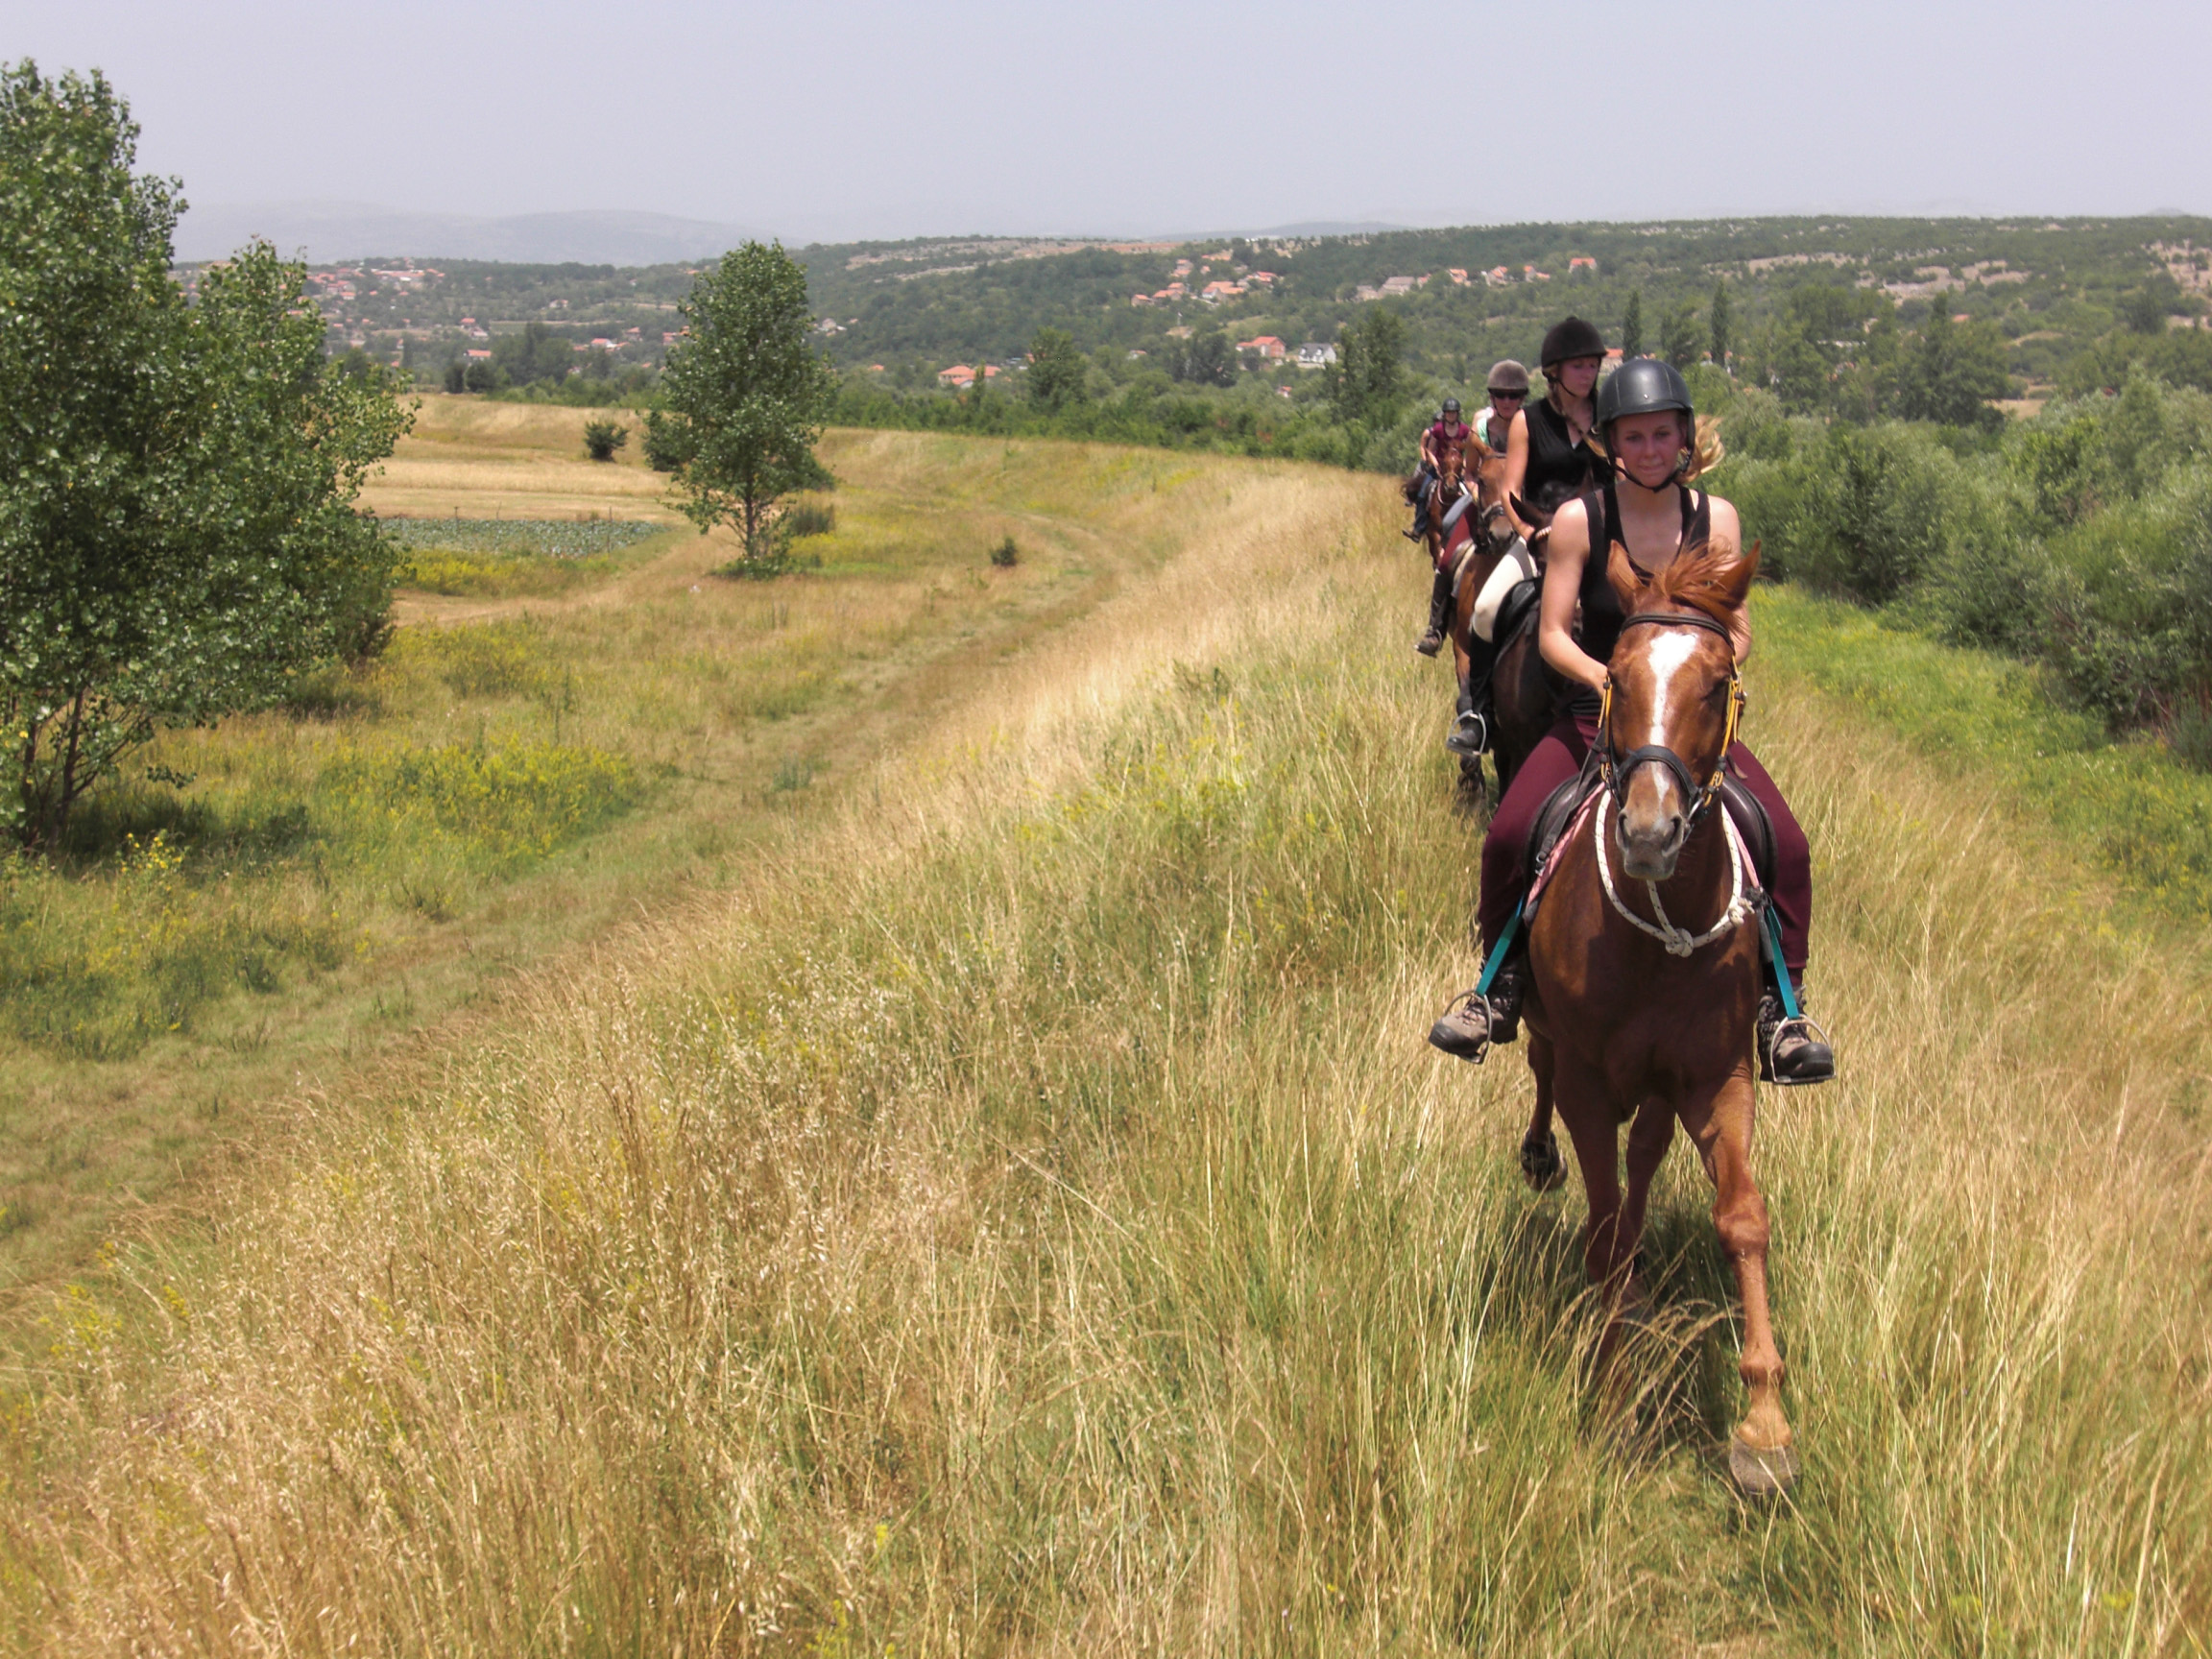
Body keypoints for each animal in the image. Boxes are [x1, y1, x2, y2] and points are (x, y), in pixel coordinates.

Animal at [1522, 540, 1795, 1503]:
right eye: (1616, 677)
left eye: (1717, 685)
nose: (1647, 833)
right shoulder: (1585, 1078)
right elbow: (1604, 1226)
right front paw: (1610, 1388)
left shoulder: (1717, 1077)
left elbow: (1742, 1218)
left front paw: (1764, 1425)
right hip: (1553, 1045)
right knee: (1540, 1076)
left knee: (1643, 1162)